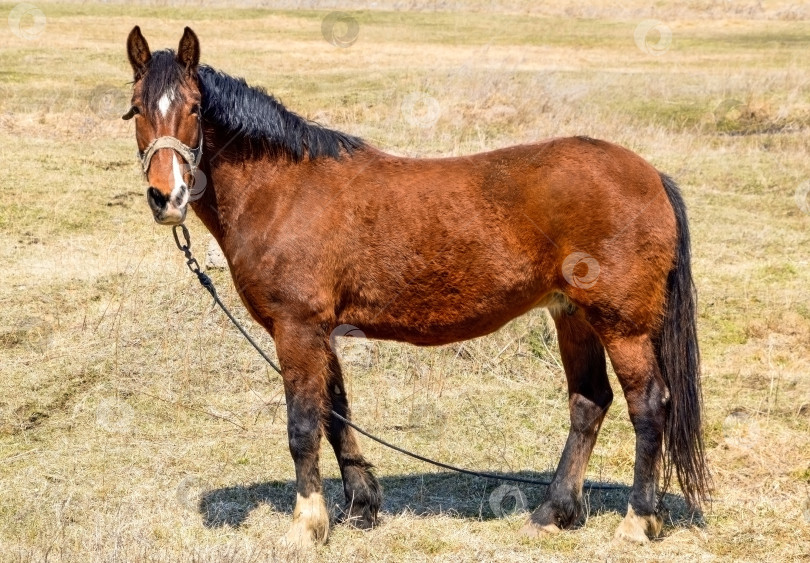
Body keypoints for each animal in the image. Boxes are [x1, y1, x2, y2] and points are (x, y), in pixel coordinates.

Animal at [124, 25, 708, 548]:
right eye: (135, 110)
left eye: (194, 109)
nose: (166, 197)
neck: (285, 189)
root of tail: (651, 176)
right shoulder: (323, 332)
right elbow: (336, 413)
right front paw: (361, 507)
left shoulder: (297, 329)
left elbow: (303, 426)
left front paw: (306, 526)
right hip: (573, 315)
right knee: (588, 402)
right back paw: (553, 512)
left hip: (621, 325)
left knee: (648, 405)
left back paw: (637, 521)